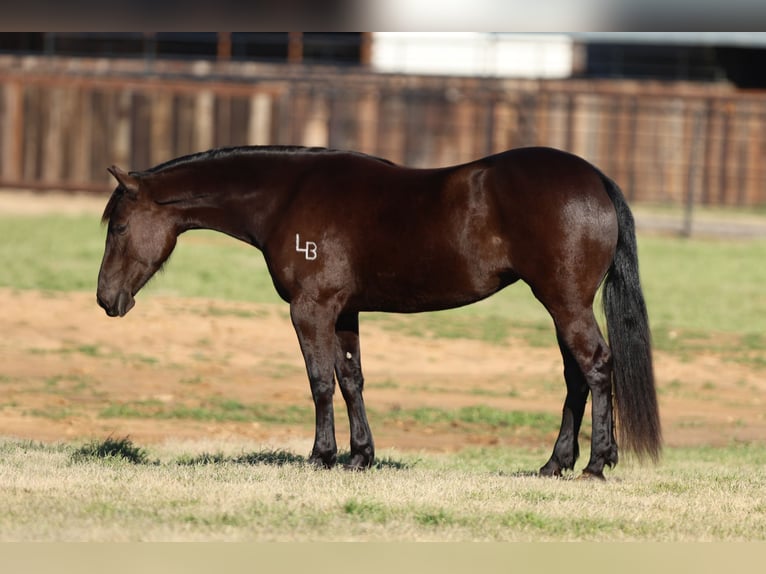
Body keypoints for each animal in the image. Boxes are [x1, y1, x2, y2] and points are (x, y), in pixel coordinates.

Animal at [94, 145, 660, 482]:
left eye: (118, 227)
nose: (105, 299)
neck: (286, 197)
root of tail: (594, 179)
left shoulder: (311, 310)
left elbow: (320, 382)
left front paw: (321, 456)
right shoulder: (345, 312)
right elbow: (351, 380)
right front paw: (360, 456)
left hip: (565, 304)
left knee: (596, 367)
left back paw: (595, 464)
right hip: (562, 306)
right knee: (576, 377)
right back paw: (555, 464)